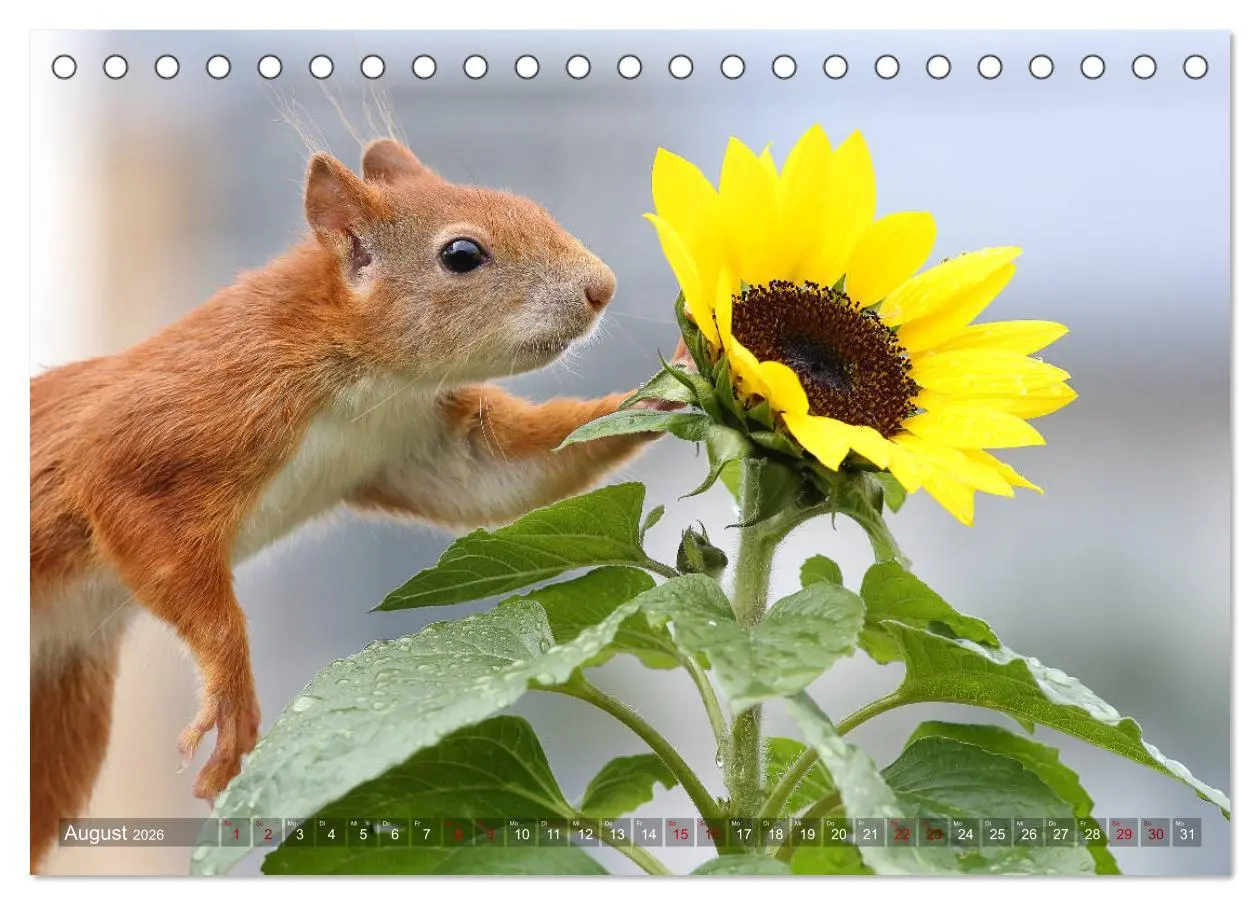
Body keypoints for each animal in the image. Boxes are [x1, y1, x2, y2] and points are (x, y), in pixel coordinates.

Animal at [30, 137, 685, 872]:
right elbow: (138, 515)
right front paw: (231, 694)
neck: (366, 375)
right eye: (462, 254)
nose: (603, 287)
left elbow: (506, 478)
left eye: (530, 204)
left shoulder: (417, 443)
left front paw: (668, 390)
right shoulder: (178, 423)